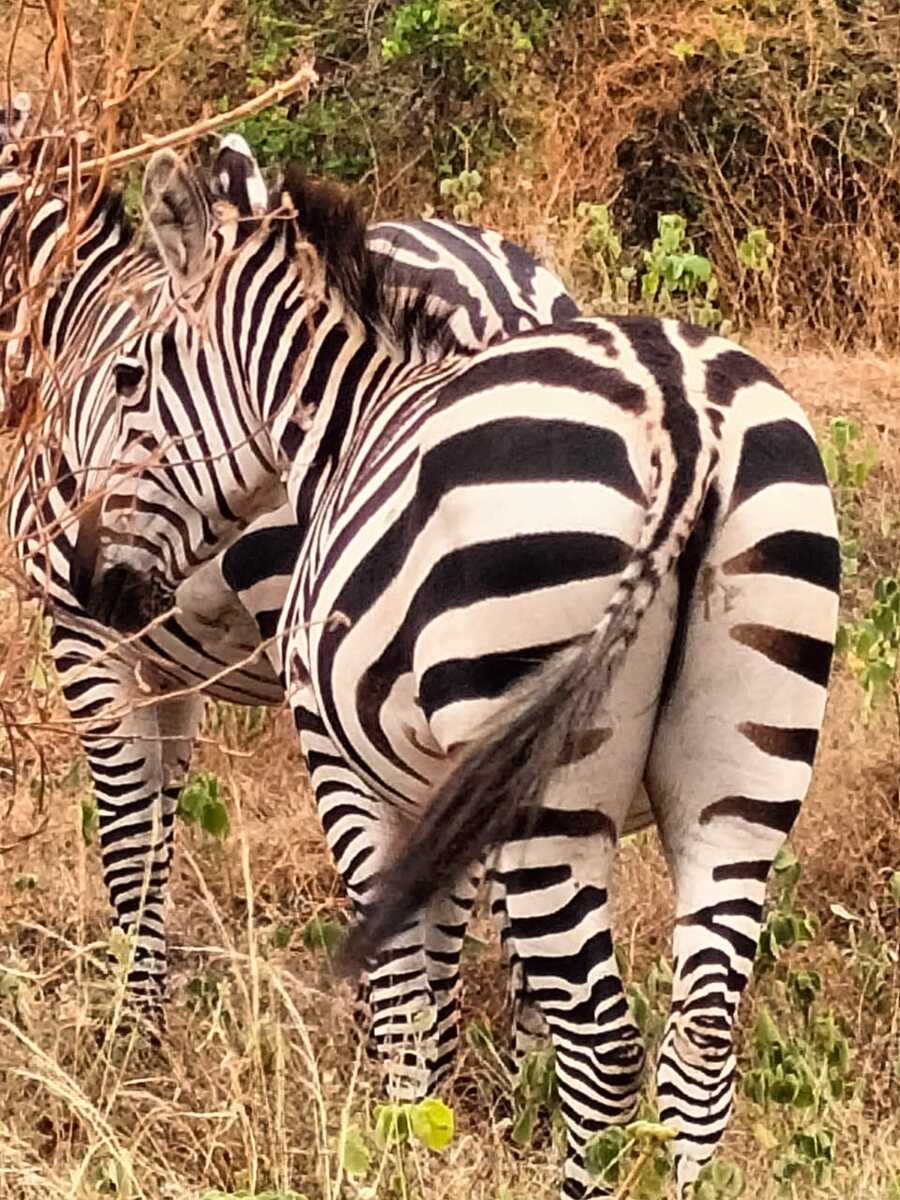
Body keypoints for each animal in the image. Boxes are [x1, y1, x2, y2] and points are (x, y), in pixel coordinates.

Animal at [0, 109, 578, 1038]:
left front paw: (134, 1029)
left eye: (128, 380)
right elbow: (158, 822)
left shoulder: (85, 633)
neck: (72, 309)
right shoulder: (166, 661)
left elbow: (124, 827)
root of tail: (503, 293)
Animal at [72, 149, 839, 1198]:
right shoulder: (443, 790)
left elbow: (402, 991)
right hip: (746, 773)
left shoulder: (347, 765)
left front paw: (398, 1149)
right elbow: (435, 984)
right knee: (701, 1046)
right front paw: (433, 1131)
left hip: (544, 779)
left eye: (127, 374)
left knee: (603, 1046)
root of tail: (683, 413)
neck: (347, 429)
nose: (90, 580)